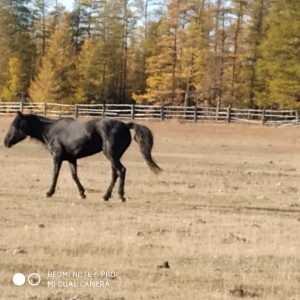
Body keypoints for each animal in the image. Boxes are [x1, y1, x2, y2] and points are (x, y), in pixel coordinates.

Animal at [3, 112, 161, 202]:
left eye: (14, 126)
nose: (5, 141)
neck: (51, 130)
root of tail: (125, 125)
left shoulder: (57, 157)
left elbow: (55, 174)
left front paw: (49, 192)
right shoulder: (71, 159)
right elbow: (74, 175)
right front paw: (82, 193)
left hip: (111, 155)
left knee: (121, 171)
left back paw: (120, 196)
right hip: (113, 157)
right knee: (115, 173)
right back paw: (106, 196)